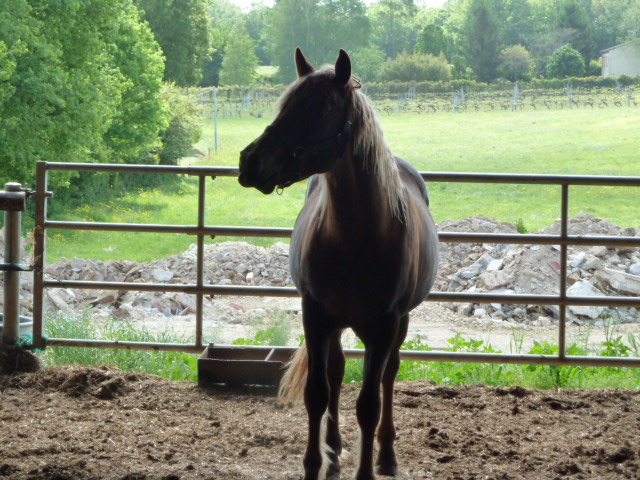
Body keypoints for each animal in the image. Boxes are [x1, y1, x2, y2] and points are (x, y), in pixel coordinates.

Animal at [240, 49, 440, 480]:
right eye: (286, 104)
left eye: (319, 108)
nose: (250, 161)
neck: (356, 236)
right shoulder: (315, 316)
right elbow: (318, 393)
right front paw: (315, 463)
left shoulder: (384, 326)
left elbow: (368, 403)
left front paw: (366, 469)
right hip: (335, 325)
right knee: (335, 371)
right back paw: (333, 451)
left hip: (397, 325)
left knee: (389, 376)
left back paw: (386, 455)